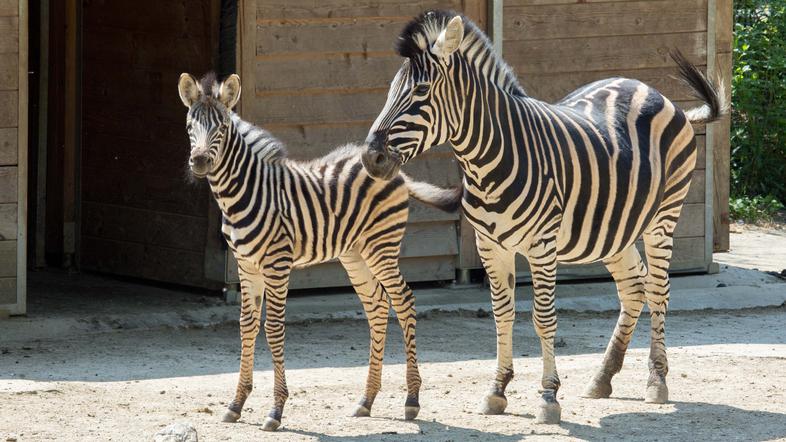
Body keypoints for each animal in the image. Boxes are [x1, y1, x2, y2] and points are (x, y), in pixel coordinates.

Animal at [178, 72, 460, 432]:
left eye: (223, 127)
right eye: (190, 126)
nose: (200, 161)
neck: (245, 191)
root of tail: (391, 167)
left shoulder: (277, 263)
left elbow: (273, 328)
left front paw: (275, 410)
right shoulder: (246, 265)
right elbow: (246, 325)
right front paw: (236, 405)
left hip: (381, 246)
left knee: (404, 301)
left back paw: (411, 400)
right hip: (354, 254)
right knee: (377, 306)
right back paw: (366, 400)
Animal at [360, 10, 724, 424]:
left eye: (421, 92)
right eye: (391, 90)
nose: (370, 157)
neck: (488, 159)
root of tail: (652, 90)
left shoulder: (542, 245)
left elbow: (543, 317)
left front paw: (549, 397)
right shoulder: (490, 246)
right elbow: (502, 314)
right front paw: (497, 390)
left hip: (663, 218)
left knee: (659, 289)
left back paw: (657, 381)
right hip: (615, 230)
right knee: (635, 287)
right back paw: (602, 377)